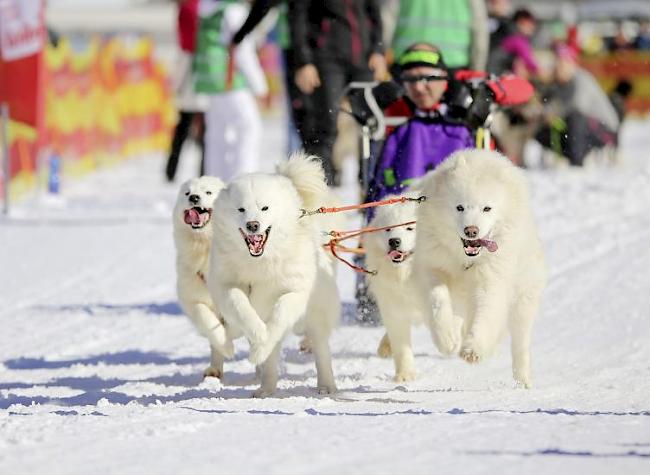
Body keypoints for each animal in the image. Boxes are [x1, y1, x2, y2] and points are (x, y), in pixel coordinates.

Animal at [172, 177, 233, 382]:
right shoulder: (193, 296)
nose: (194, 197)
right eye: (187, 193)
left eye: (208, 192)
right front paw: (226, 347)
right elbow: (207, 320)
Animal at [209, 152, 342, 398]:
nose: (253, 225)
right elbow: (242, 308)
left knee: (321, 351)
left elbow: (280, 313)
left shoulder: (295, 291)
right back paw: (265, 389)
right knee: (269, 361)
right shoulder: (226, 286)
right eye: (241, 209)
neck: (260, 261)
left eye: (265, 208)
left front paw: (260, 342)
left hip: (317, 317)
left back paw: (326, 386)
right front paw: (259, 338)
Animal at [362, 192, 428, 382]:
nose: (394, 241)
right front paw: (405, 375)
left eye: (410, 228)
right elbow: (401, 346)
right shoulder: (393, 303)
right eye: (388, 229)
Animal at [412, 151, 544, 388]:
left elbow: (485, 315)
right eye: (460, 207)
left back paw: (522, 380)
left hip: (522, 302)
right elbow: (437, 302)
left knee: (520, 343)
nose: (471, 230)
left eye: (487, 208)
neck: (465, 261)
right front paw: (445, 338)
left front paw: (473, 350)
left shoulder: (490, 282)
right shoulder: (433, 268)